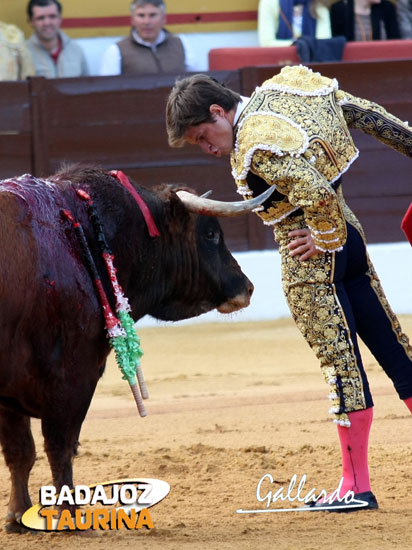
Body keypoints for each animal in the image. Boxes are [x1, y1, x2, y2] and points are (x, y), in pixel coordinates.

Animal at [0, 166, 276, 532]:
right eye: (210, 235)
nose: (247, 287)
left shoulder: (11, 392)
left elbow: (20, 451)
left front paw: (17, 516)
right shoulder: (74, 376)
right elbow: (59, 446)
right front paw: (68, 516)